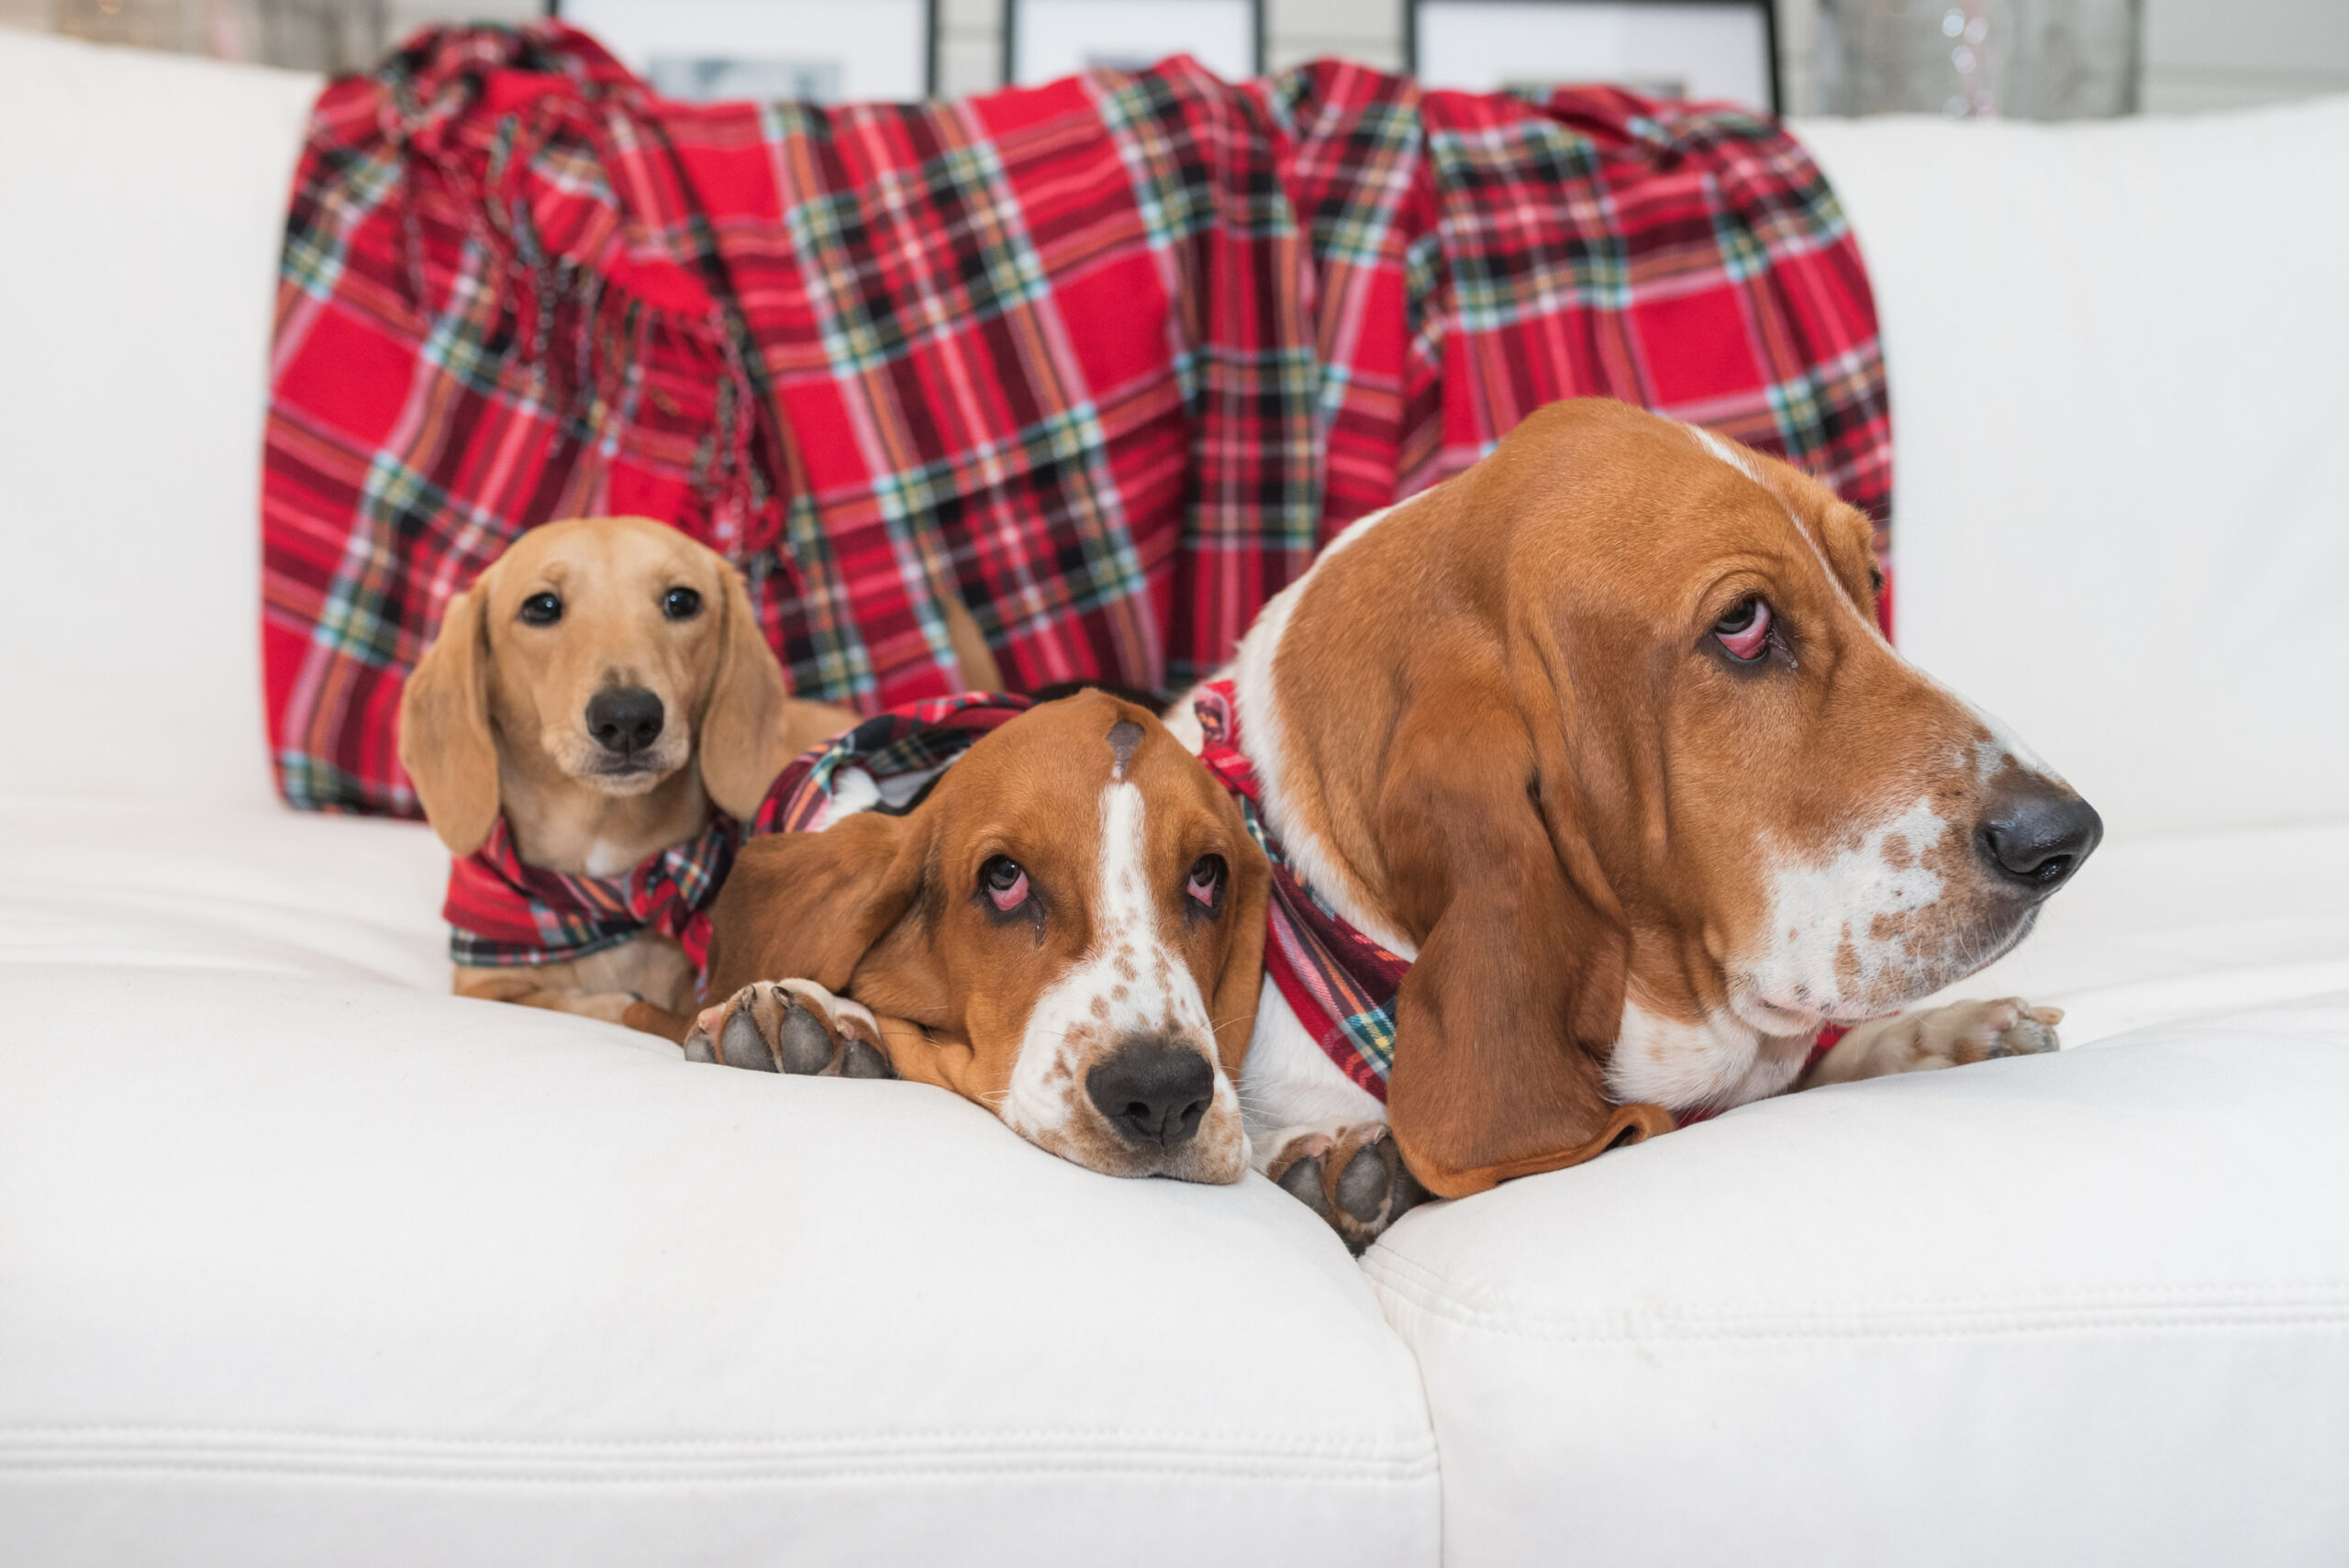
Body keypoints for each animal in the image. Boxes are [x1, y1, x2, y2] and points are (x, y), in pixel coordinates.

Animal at [399, 516, 869, 1028]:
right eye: (542, 606)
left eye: (681, 601)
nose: (627, 718)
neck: (614, 878)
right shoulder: (482, 986)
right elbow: (587, 1001)